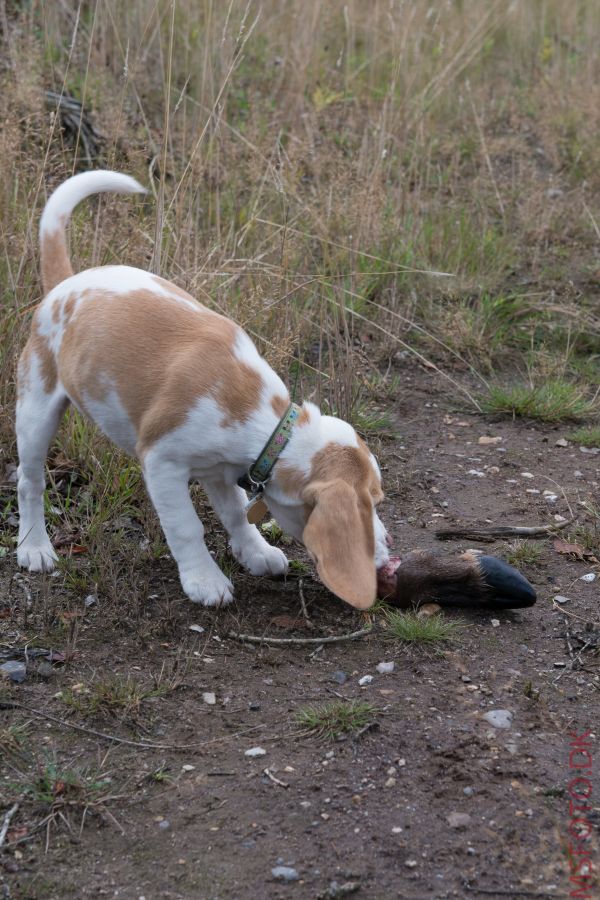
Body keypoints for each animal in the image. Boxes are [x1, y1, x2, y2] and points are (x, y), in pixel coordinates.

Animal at [16, 172, 392, 608]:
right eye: (372, 502)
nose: (388, 549)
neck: (270, 428)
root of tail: (66, 282)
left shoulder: (222, 471)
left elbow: (236, 514)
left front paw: (255, 552)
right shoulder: (162, 463)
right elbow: (186, 527)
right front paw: (205, 580)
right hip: (36, 411)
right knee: (29, 482)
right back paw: (33, 546)